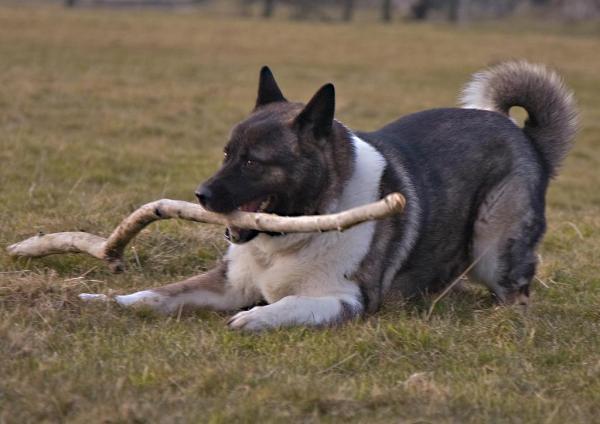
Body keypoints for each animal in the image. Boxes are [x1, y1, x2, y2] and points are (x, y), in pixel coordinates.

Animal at [78, 60, 576, 332]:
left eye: (253, 162)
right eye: (226, 153)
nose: (200, 195)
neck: (290, 235)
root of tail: (526, 138)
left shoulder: (346, 299)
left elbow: (289, 303)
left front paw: (256, 318)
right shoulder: (227, 284)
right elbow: (155, 295)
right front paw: (102, 301)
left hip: (493, 249)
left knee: (518, 294)